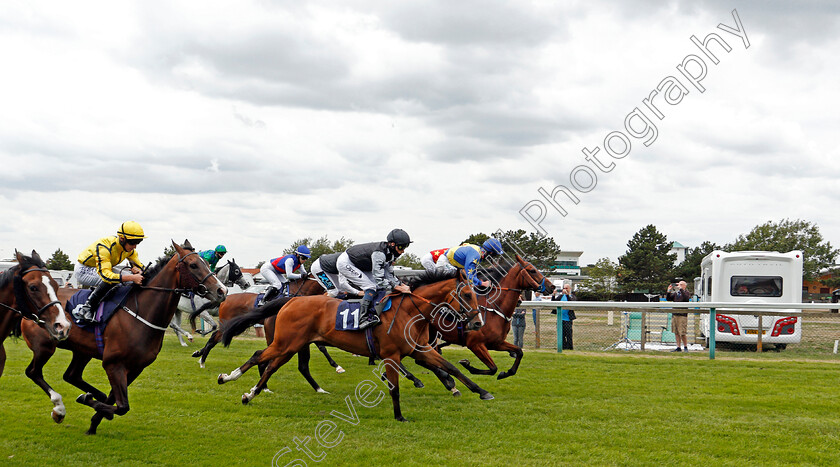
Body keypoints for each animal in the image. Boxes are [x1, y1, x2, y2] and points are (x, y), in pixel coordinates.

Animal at [22, 241, 226, 436]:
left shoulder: (135, 367)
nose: (221, 290)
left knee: (71, 375)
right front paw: (88, 401)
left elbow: (115, 402)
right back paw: (59, 409)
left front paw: (94, 422)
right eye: (193, 265)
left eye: (207, 263)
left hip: (82, 351)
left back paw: (94, 394)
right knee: (33, 372)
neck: (142, 312)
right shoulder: (113, 363)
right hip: (45, 346)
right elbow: (122, 407)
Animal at [191, 274, 342, 372]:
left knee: (215, 338)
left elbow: (321, 346)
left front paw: (336, 365)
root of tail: (225, 299)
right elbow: (321, 346)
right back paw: (202, 361)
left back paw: (199, 354)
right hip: (228, 325)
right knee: (213, 338)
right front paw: (337, 366)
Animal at [218, 270, 492, 420]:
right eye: (467, 294)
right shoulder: (391, 354)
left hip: (292, 345)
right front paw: (399, 416)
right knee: (258, 355)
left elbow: (451, 367)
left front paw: (481, 391)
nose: (478, 322)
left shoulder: (420, 350)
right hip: (286, 343)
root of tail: (291, 300)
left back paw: (250, 394)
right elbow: (394, 387)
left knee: (272, 366)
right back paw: (228, 377)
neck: (410, 311)